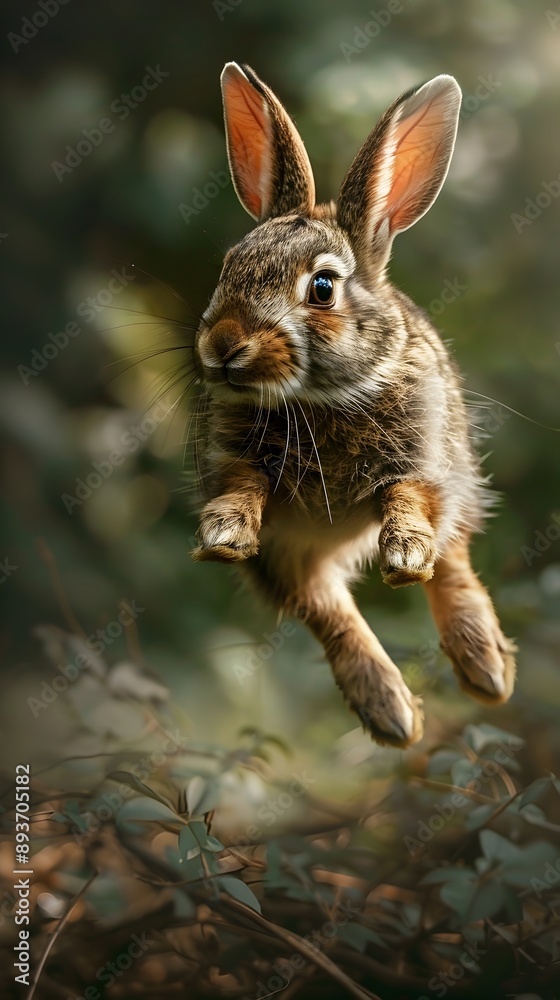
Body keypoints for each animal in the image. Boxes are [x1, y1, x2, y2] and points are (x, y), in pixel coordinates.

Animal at [191, 62, 516, 748]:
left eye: (321, 287)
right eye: (229, 266)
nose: (223, 345)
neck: (317, 398)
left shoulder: (422, 461)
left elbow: (410, 505)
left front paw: (404, 552)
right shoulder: (239, 465)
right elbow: (243, 488)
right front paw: (224, 532)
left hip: (457, 476)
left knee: (452, 562)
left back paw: (483, 667)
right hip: (294, 559)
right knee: (328, 611)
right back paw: (391, 712)